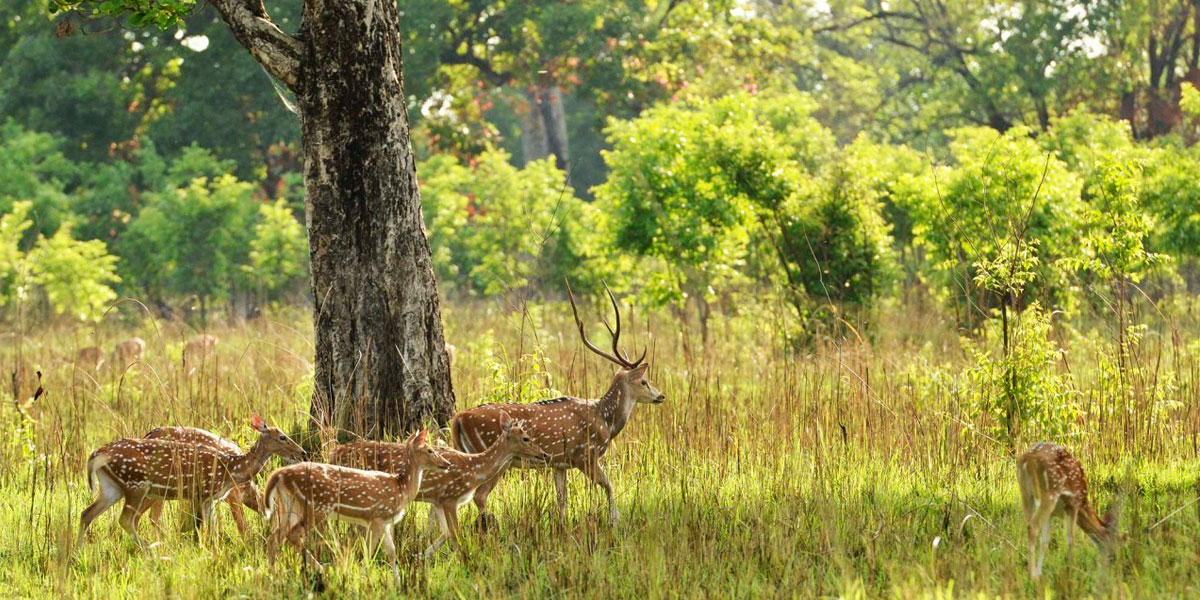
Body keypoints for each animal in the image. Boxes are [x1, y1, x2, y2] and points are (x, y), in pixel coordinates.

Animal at [78, 415, 307, 547]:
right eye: (282, 437)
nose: (302, 452)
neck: (232, 469)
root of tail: (96, 454)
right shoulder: (203, 492)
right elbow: (207, 526)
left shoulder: (210, 498)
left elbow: (212, 528)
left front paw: (215, 551)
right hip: (136, 485)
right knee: (128, 519)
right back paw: (152, 549)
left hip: (112, 488)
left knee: (87, 513)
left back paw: (78, 552)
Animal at [265, 429, 451, 583]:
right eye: (430, 450)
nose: (447, 464)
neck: (402, 490)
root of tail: (279, 474)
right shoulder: (377, 517)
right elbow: (369, 550)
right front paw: (363, 578)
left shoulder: (384, 521)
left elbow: (391, 551)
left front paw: (398, 581)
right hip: (315, 506)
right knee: (293, 534)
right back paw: (313, 571)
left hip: (289, 505)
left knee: (275, 536)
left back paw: (276, 574)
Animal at [331, 415, 549, 554]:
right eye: (526, 438)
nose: (544, 454)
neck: (474, 468)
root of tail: (334, 452)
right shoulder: (450, 497)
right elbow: (455, 533)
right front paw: (464, 560)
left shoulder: (436, 500)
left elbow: (444, 533)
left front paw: (422, 556)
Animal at [448, 283, 662, 528]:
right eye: (644, 381)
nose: (661, 396)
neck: (605, 421)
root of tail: (459, 418)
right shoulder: (585, 454)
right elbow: (608, 485)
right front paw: (614, 521)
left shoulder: (559, 464)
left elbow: (562, 499)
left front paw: (562, 526)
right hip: (495, 456)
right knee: (480, 495)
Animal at [1017, 444, 1118, 578]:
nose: (1113, 559)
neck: (1083, 504)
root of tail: (1028, 458)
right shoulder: (1073, 504)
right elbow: (1071, 539)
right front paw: (1072, 570)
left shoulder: (1052, 514)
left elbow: (1045, 542)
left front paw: (1040, 573)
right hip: (1049, 493)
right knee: (1033, 526)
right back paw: (1031, 575)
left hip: (1025, 493)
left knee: (1028, 524)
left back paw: (1032, 572)